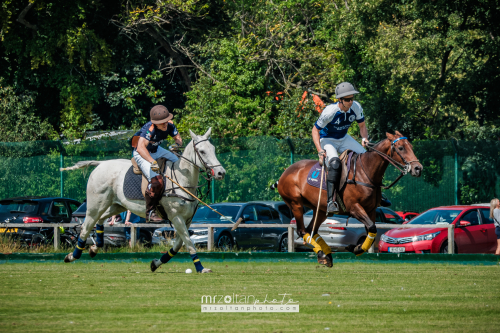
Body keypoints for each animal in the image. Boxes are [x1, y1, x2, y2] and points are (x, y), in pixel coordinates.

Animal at [61, 127, 226, 272]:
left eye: (213, 149)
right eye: (202, 151)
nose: (220, 172)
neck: (181, 179)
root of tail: (101, 164)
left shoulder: (187, 219)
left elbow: (179, 244)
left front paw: (156, 263)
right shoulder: (176, 217)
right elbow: (189, 243)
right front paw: (201, 268)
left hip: (117, 205)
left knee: (101, 219)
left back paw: (95, 248)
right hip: (95, 205)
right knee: (85, 227)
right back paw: (72, 256)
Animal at [278, 131, 422, 266]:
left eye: (411, 146)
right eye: (401, 148)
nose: (418, 168)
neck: (365, 172)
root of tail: (285, 172)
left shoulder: (371, 210)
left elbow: (372, 231)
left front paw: (356, 248)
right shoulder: (354, 207)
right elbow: (372, 228)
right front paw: (356, 248)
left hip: (320, 209)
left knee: (310, 229)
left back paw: (325, 255)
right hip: (295, 203)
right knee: (302, 230)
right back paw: (322, 253)